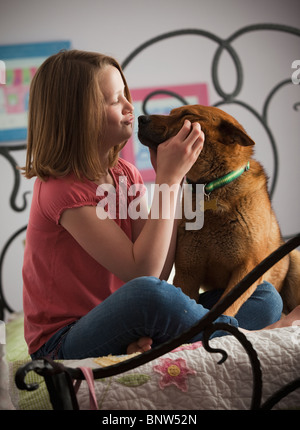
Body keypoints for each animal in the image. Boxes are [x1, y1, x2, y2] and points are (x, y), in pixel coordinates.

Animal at [138, 105, 300, 316]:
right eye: (171, 113)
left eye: (187, 115)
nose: (140, 118)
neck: (213, 186)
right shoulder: (187, 271)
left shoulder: (247, 269)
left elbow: (226, 308)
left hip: (295, 261)